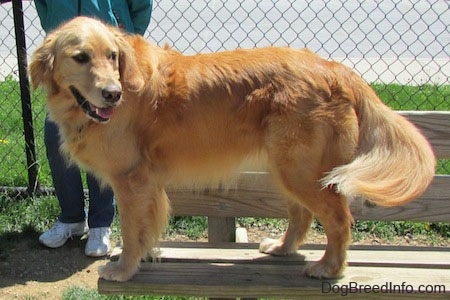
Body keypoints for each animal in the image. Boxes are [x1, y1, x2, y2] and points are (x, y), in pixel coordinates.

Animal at [29, 17, 436, 282]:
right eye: (81, 57)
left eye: (113, 56)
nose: (113, 94)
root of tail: (336, 68)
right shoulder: (146, 185)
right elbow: (146, 227)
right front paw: (146, 256)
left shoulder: (131, 180)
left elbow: (131, 229)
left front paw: (125, 269)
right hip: (284, 168)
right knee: (302, 214)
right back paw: (283, 249)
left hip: (300, 169)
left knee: (338, 218)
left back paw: (330, 268)